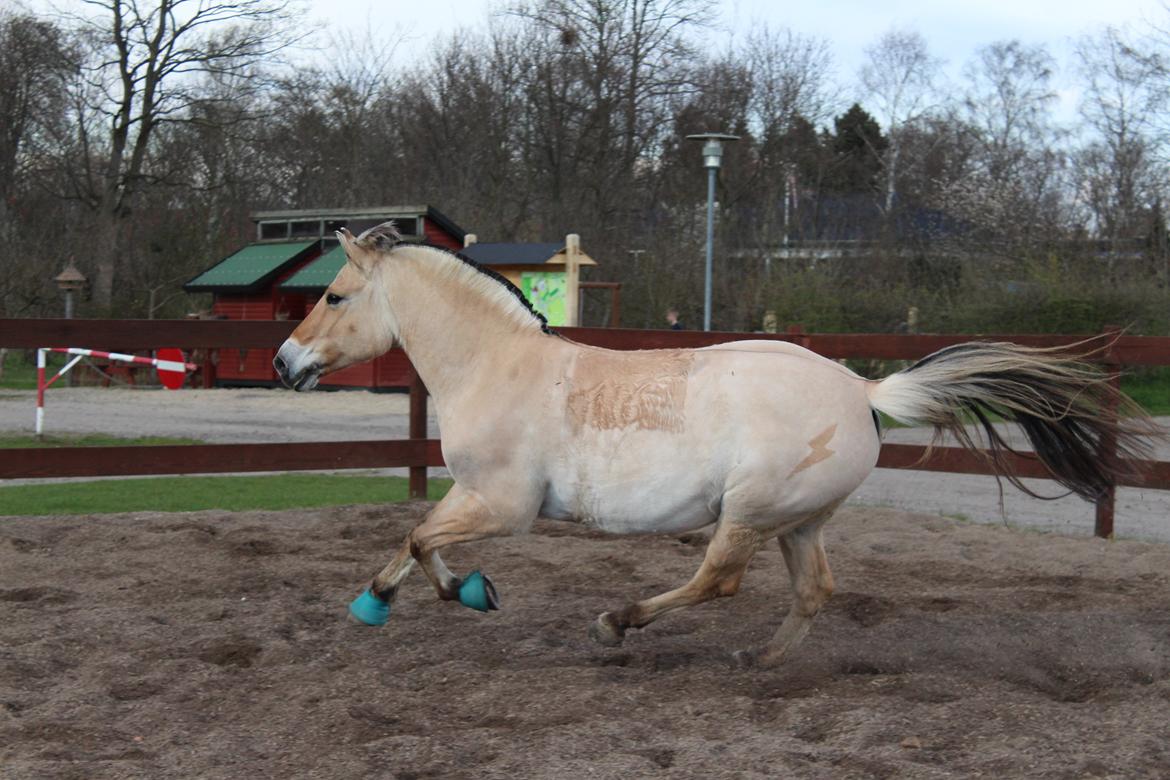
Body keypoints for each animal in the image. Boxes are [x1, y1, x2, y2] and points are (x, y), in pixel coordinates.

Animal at [274, 222, 1158, 668]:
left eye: (334, 295)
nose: (285, 362)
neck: (498, 365)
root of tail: (864, 393)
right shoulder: (476, 498)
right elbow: (415, 539)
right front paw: (410, 598)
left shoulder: (503, 504)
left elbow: (420, 540)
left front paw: (439, 597)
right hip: (801, 519)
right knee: (813, 589)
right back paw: (761, 664)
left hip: (750, 512)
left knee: (717, 580)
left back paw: (618, 624)